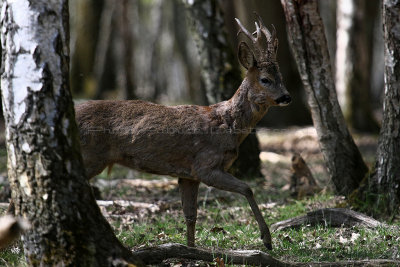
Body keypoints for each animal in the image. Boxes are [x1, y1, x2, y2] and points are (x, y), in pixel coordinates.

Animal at [75, 13, 292, 250]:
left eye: (281, 76)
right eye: (265, 79)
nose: (286, 97)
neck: (228, 126)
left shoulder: (188, 175)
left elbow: (190, 215)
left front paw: (191, 249)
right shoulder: (206, 166)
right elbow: (247, 188)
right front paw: (267, 239)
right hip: (90, 156)